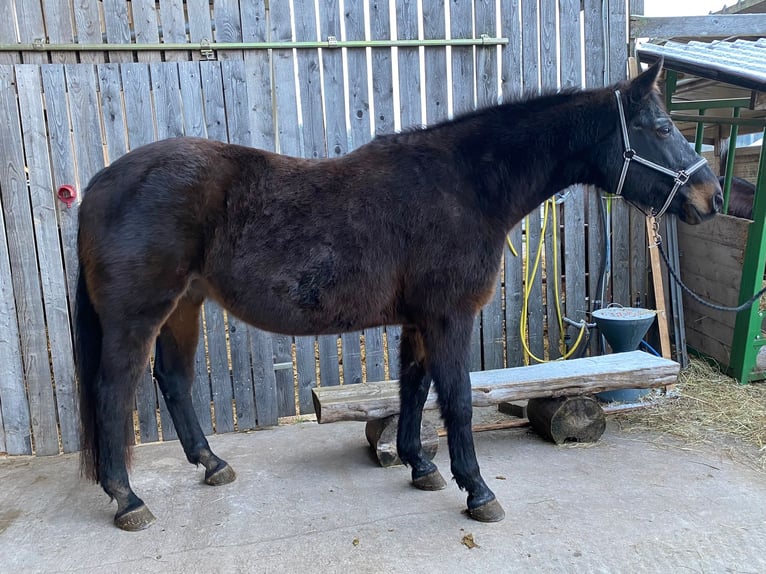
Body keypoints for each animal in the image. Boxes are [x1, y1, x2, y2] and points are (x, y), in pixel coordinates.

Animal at [75, 58, 724, 532]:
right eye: (661, 129)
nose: (712, 197)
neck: (467, 185)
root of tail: (102, 181)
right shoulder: (449, 316)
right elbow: (455, 399)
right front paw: (477, 491)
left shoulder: (418, 320)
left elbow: (414, 388)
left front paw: (419, 466)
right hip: (138, 314)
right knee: (114, 390)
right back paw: (127, 499)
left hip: (184, 307)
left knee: (173, 381)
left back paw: (211, 465)